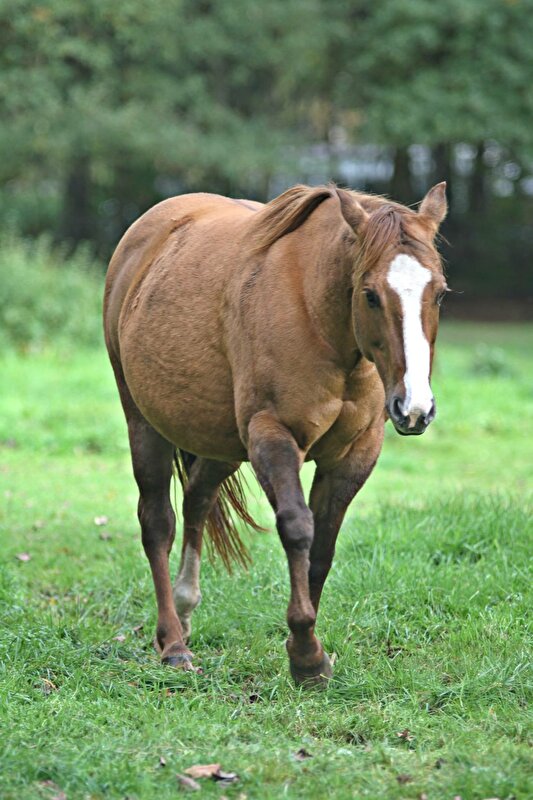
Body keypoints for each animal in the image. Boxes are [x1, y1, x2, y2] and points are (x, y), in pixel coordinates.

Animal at [103, 181, 447, 686]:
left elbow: (322, 546)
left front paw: (305, 648)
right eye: (369, 295)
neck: (321, 321)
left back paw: (186, 611)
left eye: (438, 293)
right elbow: (298, 528)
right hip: (143, 424)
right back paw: (173, 643)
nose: (415, 408)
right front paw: (305, 655)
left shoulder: (354, 453)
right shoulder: (273, 436)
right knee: (158, 523)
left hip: (222, 443)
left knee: (198, 500)